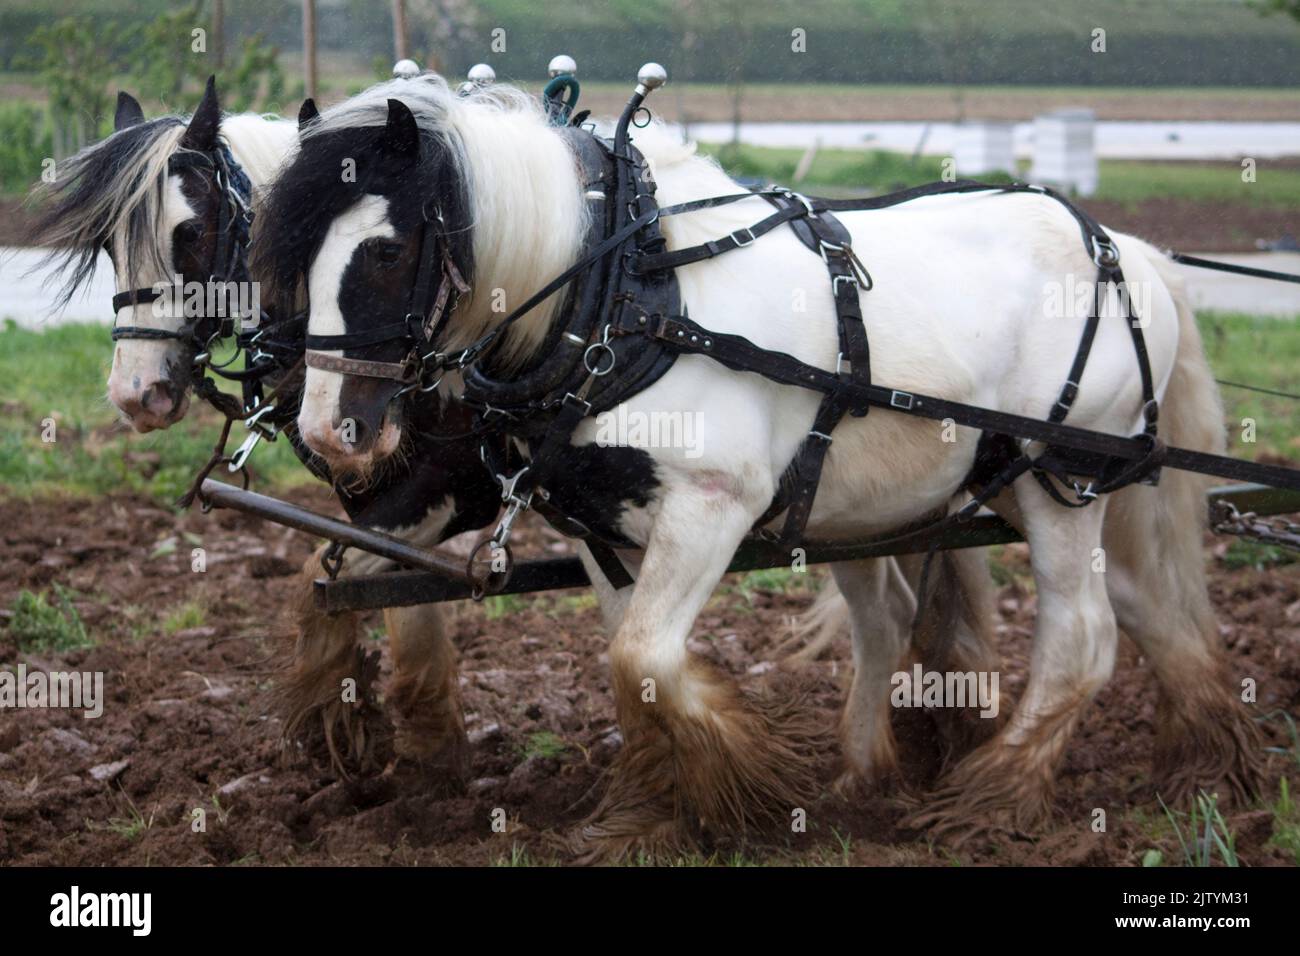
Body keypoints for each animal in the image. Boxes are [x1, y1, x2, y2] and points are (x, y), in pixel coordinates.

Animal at [263, 74, 1258, 853]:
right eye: (293, 257)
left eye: (388, 251)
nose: (329, 432)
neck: (631, 294)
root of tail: (1133, 253)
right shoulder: (601, 521)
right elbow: (632, 663)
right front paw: (649, 812)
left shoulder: (711, 504)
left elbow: (644, 655)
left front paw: (744, 782)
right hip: (990, 488)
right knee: (1112, 608)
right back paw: (1190, 764)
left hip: (1062, 482)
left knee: (1083, 635)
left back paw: (993, 799)